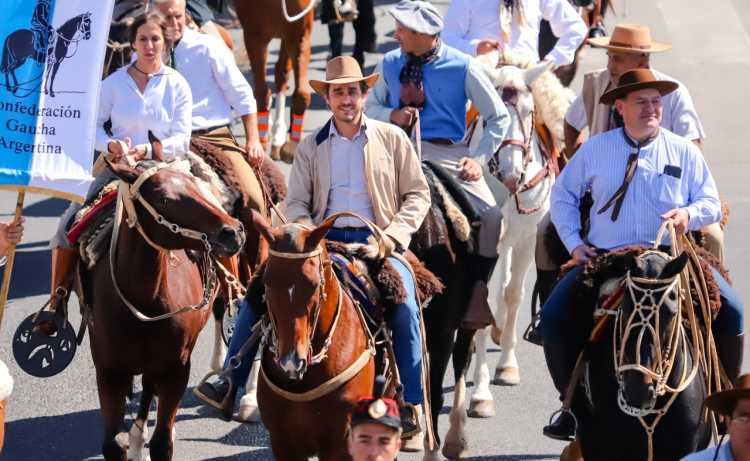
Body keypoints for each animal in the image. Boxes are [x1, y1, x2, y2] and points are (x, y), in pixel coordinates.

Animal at [79, 150, 245, 456]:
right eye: (165, 199)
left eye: (195, 184)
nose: (233, 232)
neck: (143, 301)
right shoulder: (109, 370)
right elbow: (114, 443)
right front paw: (132, 441)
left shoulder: (175, 370)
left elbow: (162, 443)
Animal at [238, 0, 314, 164]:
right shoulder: (254, 36)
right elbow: (261, 92)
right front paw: (260, 143)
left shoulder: (298, 36)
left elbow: (302, 94)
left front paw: (292, 145)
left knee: (281, 72)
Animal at [468, 51, 572, 416]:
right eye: (489, 114)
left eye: (529, 111)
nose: (512, 175)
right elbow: (484, 301)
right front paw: (480, 393)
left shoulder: (527, 238)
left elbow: (514, 295)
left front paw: (506, 367)